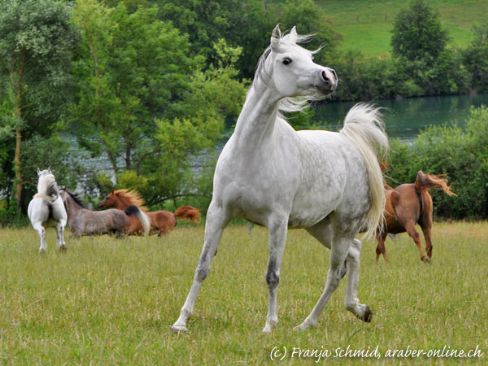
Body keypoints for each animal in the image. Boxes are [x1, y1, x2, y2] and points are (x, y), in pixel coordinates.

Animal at [172, 25, 388, 334]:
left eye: (310, 57)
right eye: (287, 60)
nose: (329, 77)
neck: (252, 152)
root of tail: (350, 144)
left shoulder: (277, 221)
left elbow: (272, 274)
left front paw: (269, 325)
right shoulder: (218, 213)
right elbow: (202, 267)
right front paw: (181, 322)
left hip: (343, 226)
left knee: (335, 272)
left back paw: (307, 323)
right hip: (321, 227)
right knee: (355, 254)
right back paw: (358, 310)